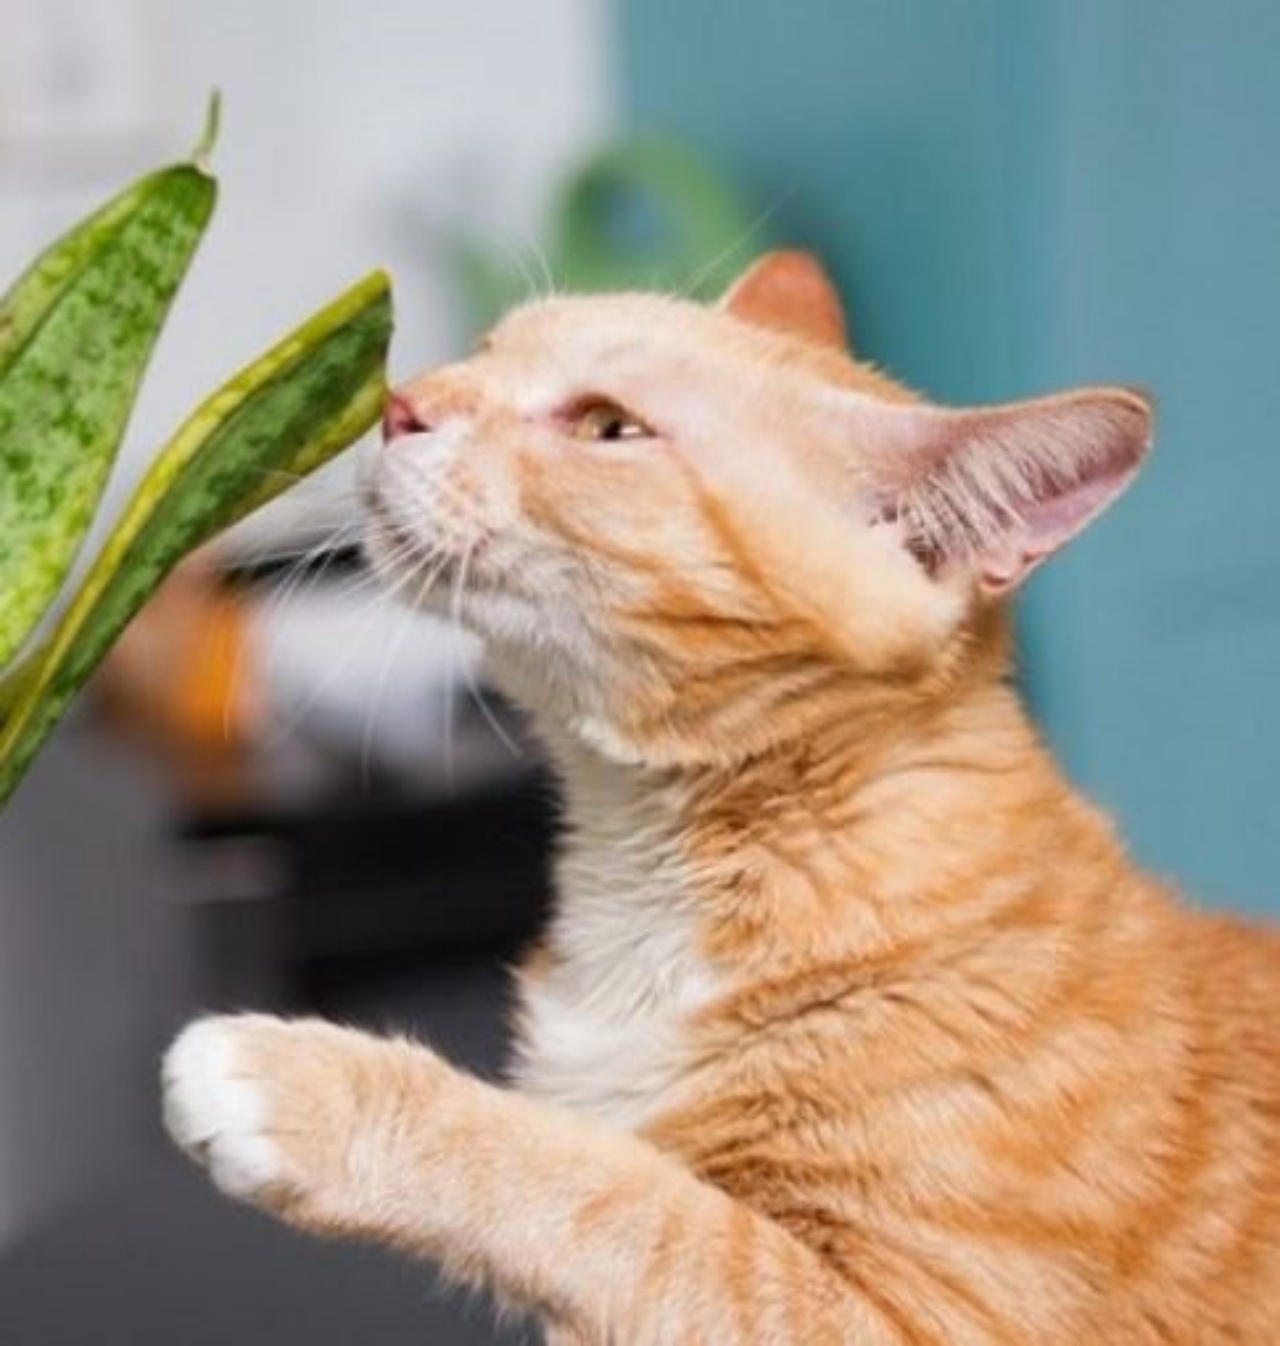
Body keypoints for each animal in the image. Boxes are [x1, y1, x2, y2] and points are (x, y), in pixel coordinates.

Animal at [160, 254, 1280, 1346]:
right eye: (485, 348)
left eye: (606, 426)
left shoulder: (915, 1317)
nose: (402, 405)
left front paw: (306, 1087)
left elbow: (622, 1200)